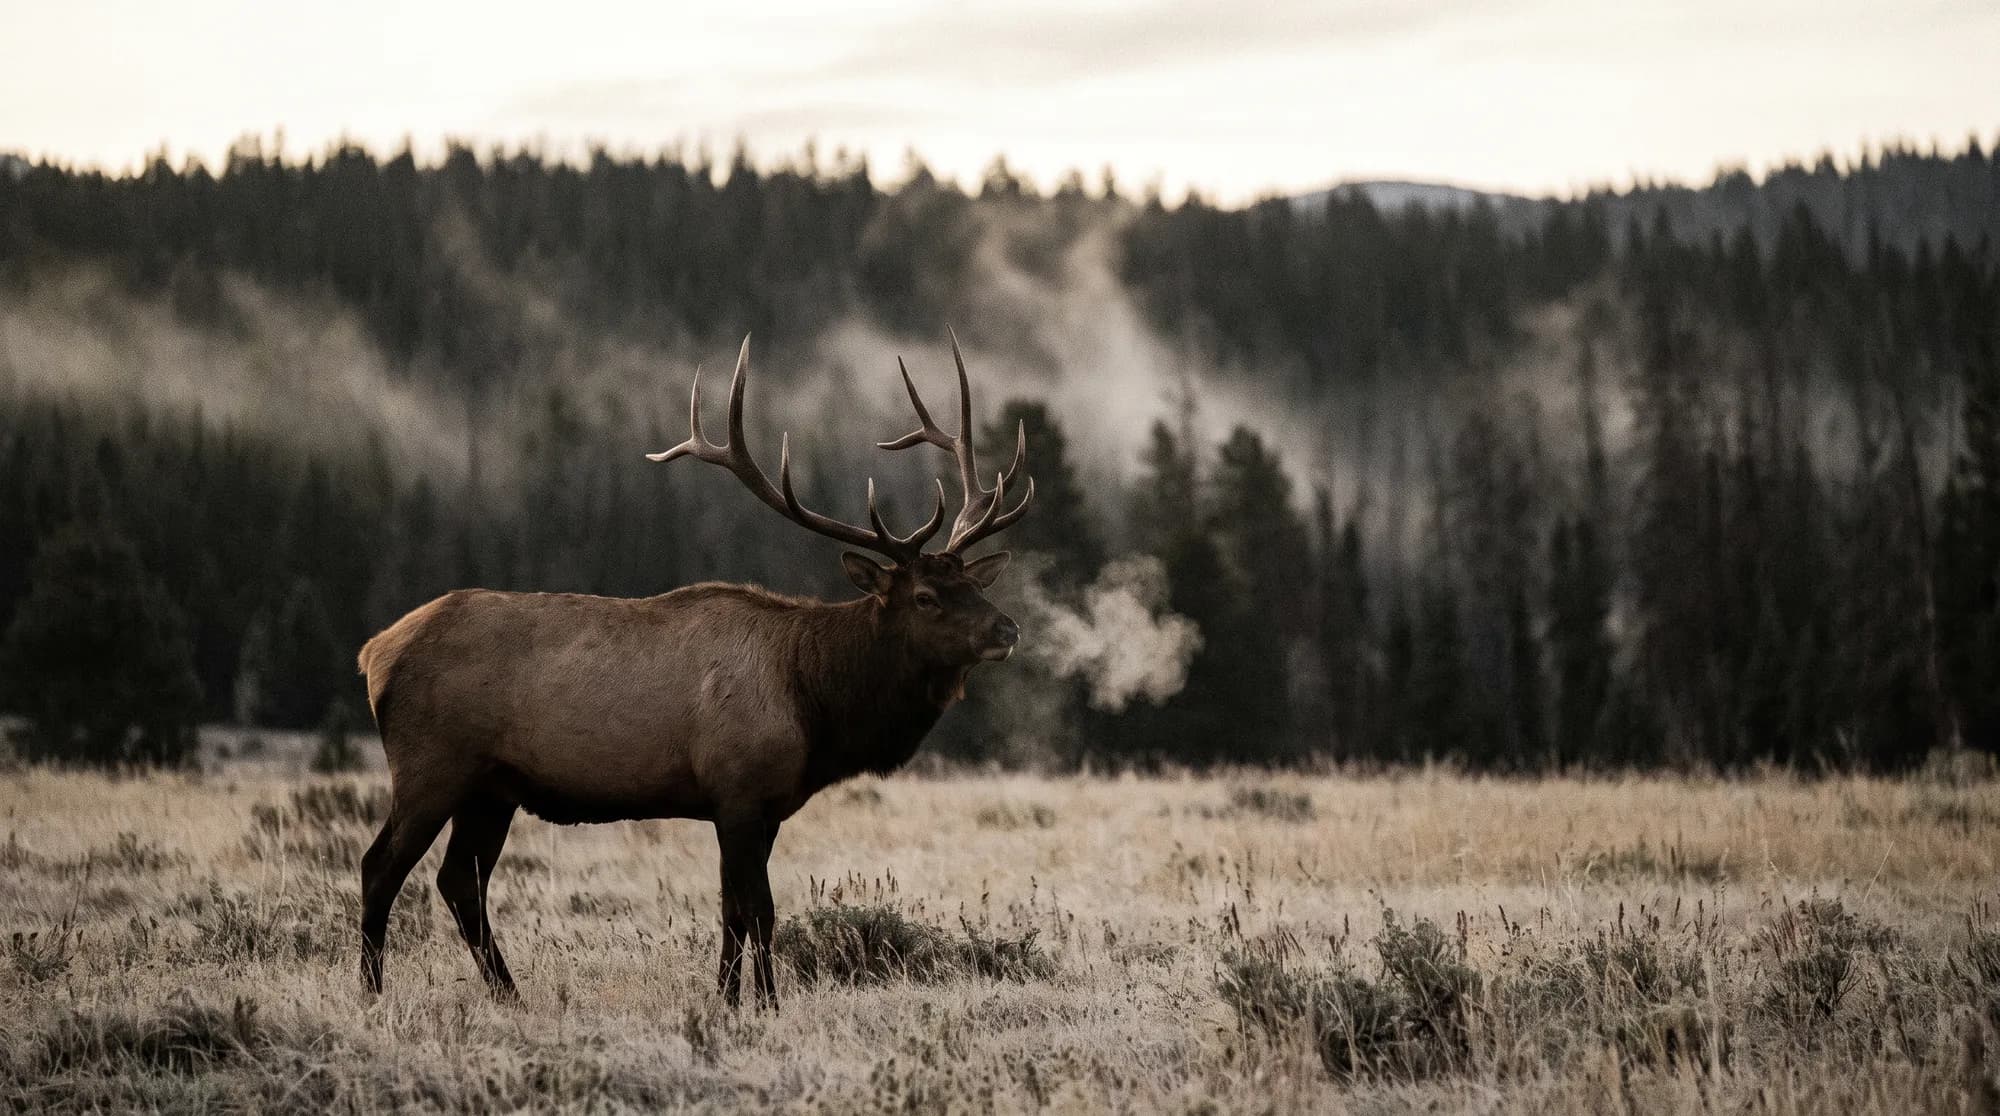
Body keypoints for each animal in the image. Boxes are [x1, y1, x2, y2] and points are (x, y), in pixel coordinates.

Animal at [354, 335, 1032, 1009]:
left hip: (492, 787)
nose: (1007, 630)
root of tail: (374, 652)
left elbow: (736, 911)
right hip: (431, 766)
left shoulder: (764, 806)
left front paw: (733, 999)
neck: (813, 702)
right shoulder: (736, 789)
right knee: (381, 867)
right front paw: (761, 1003)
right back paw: (371, 992)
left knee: (459, 881)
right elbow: (757, 910)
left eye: (974, 583)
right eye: (925, 597)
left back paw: (509, 996)